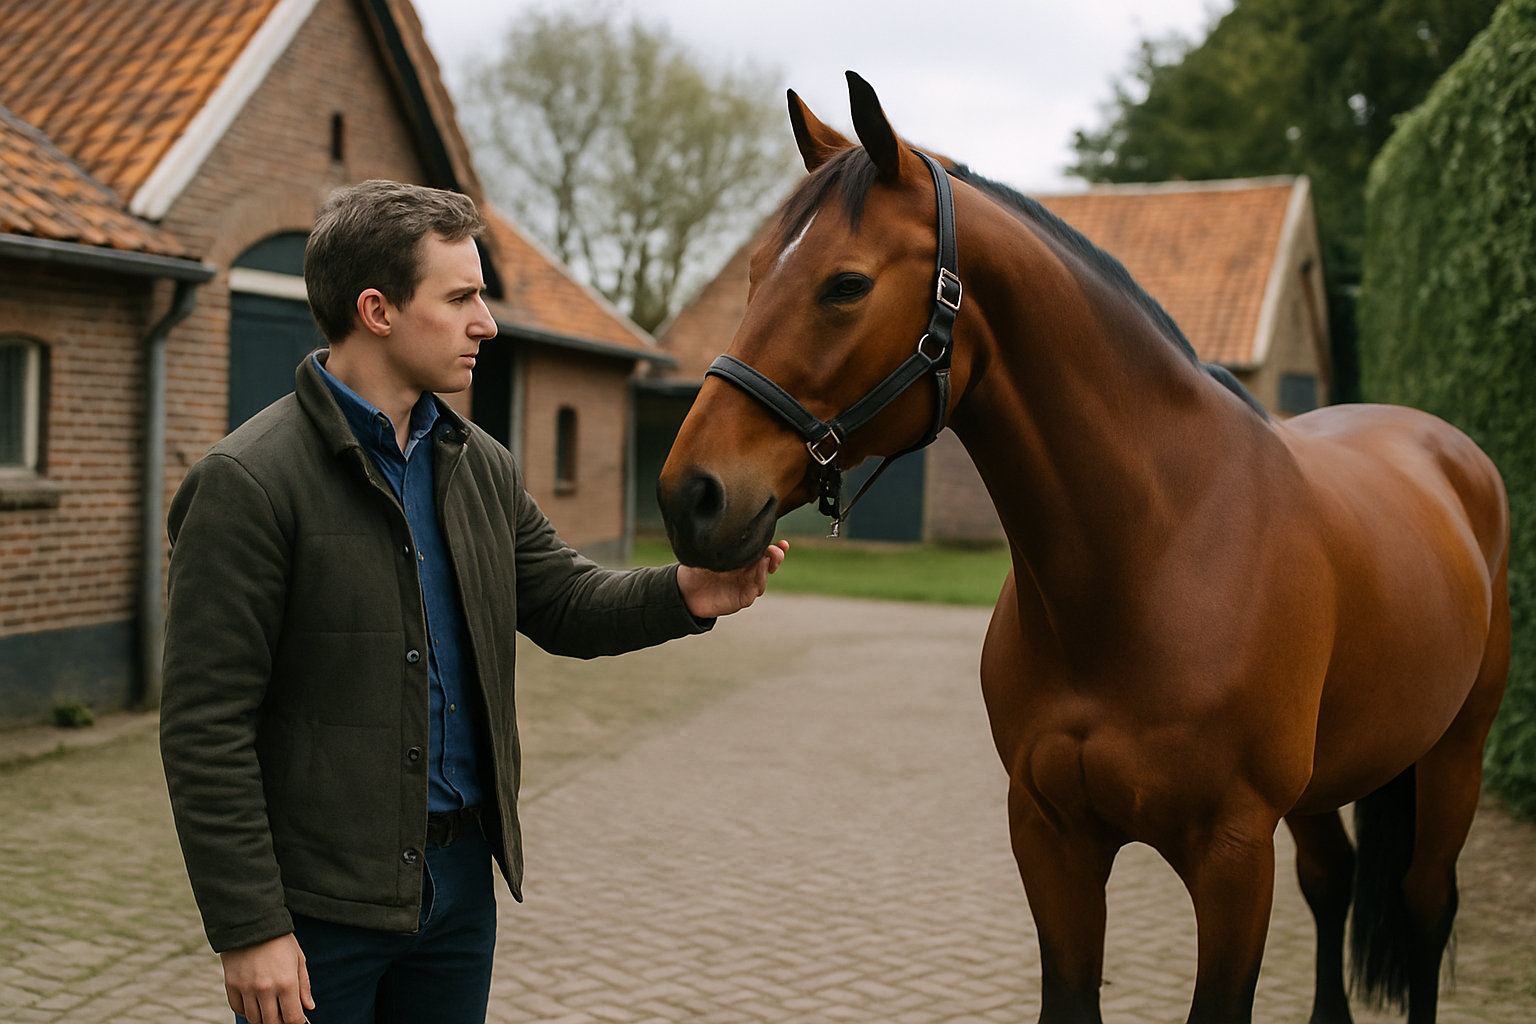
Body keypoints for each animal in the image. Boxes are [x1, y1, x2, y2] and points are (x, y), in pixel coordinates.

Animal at [656, 73, 1511, 1024]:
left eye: (845, 285)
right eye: (755, 272)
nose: (691, 495)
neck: (1158, 551)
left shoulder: (1233, 857)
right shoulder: (1051, 838)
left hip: (1455, 755)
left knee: (1426, 904)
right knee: (1334, 883)